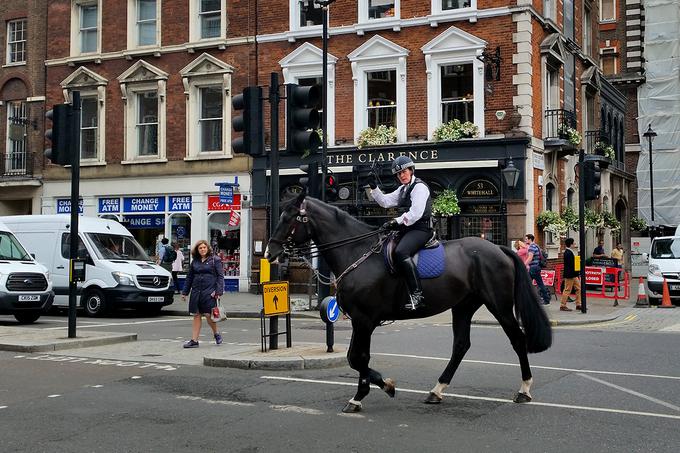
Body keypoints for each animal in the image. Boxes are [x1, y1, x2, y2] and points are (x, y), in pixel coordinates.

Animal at [266, 192, 552, 412]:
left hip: (499, 305)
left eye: (291, 218)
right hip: (463, 306)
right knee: (461, 345)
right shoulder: (361, 319)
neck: (357, 253)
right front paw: (367, 392)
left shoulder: (364, 319)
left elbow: (358, 358)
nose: (270, 252)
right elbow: (357, 357)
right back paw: (437, 390)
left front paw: (376, 390)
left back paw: (524, 389)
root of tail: (499, 249)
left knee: (517, 339)